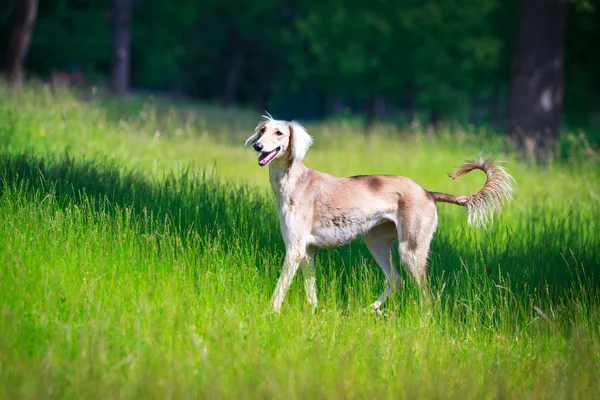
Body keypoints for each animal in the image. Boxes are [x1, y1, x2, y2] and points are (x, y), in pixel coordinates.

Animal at [245, 113, 516, 312]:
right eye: (262, 130)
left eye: (279, 133)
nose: (258, 146)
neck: (293, 181)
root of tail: (426, 192)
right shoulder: (307, 252)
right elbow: (310, 290)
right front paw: (313, 312)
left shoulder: (294, 249)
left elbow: (280, 287)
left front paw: (270, 312)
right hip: (375, 241)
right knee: (396, 280)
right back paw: (370, 310)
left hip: (411, 251)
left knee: (426, 295)